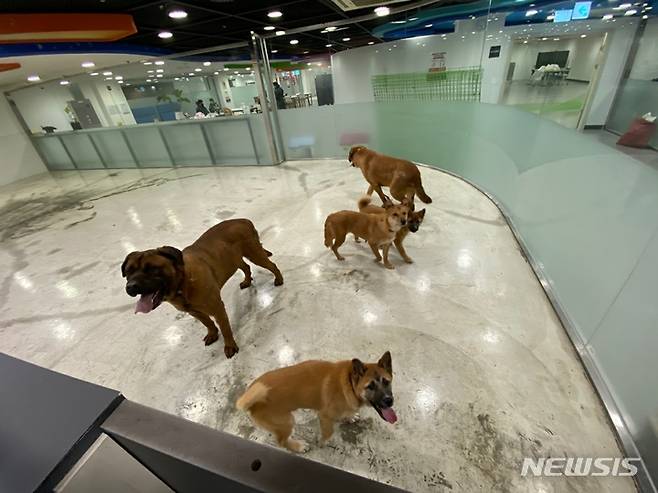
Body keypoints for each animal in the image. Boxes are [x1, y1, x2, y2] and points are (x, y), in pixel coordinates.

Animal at [120, 219, 282, 358]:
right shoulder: (194, 311)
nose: (131, 287)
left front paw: (229, 345)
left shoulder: (217, 308)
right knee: (246, 267)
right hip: (234, 260)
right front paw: (212, 333)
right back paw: (247, 281)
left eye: (152, 269)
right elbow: (207, 322)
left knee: (272, 265)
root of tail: (244, 220)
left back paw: (279, 279)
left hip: (255, 254)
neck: (183, 284)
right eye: (128, 272)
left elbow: (225, 328)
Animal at [238, 352, 398, 452]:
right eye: (370, 386)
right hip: (287, 421)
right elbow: (328, 432)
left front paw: (350, 416)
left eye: (386, 382)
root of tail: (250, 399)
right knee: (282, 442)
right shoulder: (324, 416)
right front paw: (322, 442)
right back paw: (298, 447)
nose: (389, 401)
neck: (349, 382)